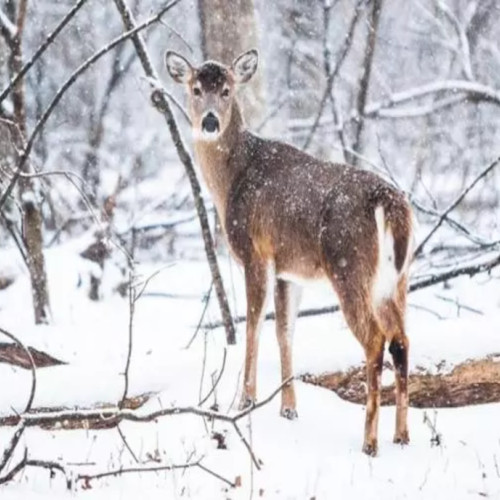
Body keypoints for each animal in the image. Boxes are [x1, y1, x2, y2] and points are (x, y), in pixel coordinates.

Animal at [166, 48, 412, 456]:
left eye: (228, 90)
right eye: (196, 88)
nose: (210, 121)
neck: (231, 180)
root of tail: (389, 203)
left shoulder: (255, 252)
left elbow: (252, 326)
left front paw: (245, 401)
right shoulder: (288, 269)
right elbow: (285, 331)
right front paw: (289, 408)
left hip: (349, 266)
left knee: (376, 339)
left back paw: (370, 442)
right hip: (397, 279)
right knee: (401, 340)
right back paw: (402, 436)